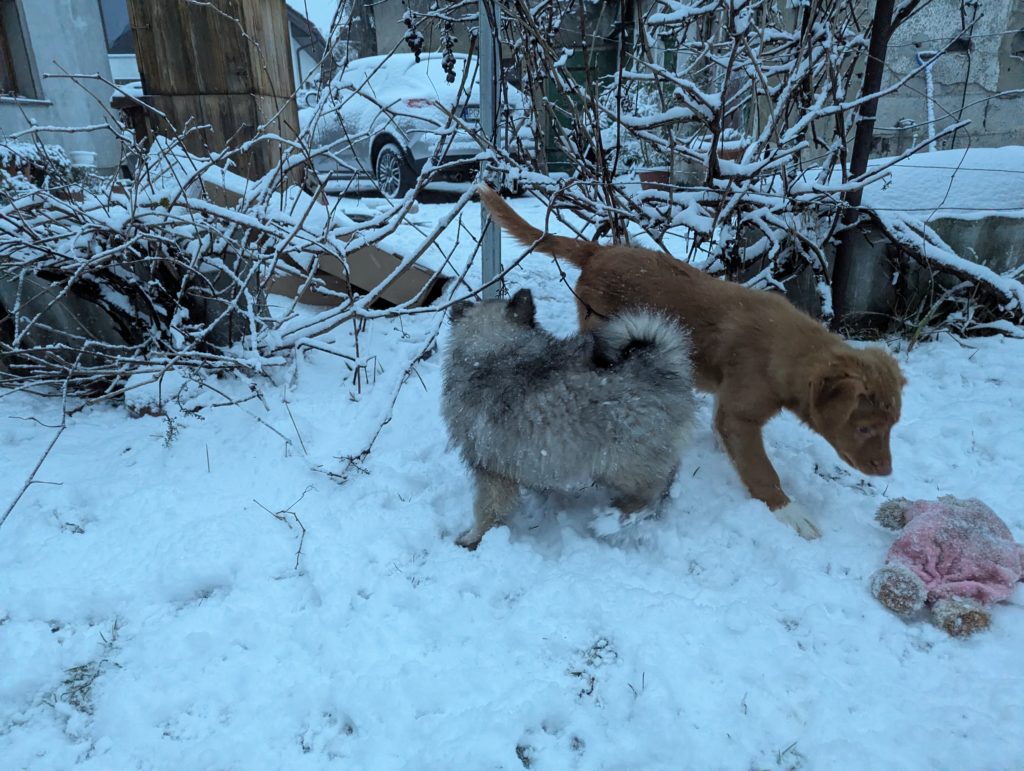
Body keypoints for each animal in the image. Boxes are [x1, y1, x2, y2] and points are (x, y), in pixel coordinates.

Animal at [441, 288, 698, 549]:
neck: (497, 352)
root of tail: (656, 362)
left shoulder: (489, 467)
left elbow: (487, 508)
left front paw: (473, 538)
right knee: (666, 481)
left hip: (620, 463)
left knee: (646, 494)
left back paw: (611, 519)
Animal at [478, 185, 906, 539]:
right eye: (864, 428)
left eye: (892, 426)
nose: (887, 471)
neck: (786, 344)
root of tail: (601, 251)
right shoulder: (740, 416)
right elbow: (762, 469)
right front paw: (789, 512)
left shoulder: (728, 405)